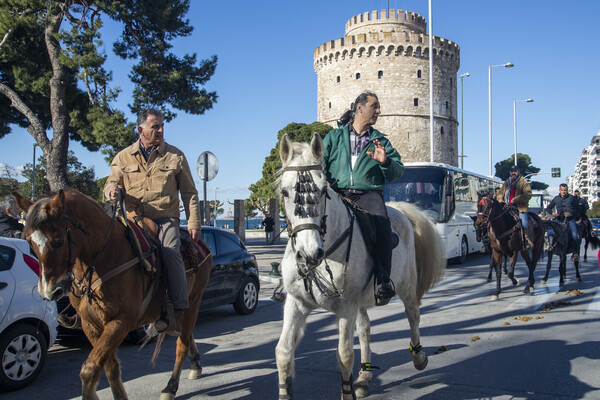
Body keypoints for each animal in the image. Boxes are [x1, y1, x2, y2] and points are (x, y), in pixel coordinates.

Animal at [14, 188, 212, 400]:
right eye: (29, 242)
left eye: (58, 241)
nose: (49, 291)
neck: (103, 257)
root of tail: (200, 244)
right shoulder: (90, 324)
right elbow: (109, 366)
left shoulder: (120, 321)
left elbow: (90, 368)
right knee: (186, 334)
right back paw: (195, 365)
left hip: (193, 302)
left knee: (181, 344)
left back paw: (171, 387)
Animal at [276, 135, 446, 400]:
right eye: (285, 191)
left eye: (323, 191)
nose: (309, 255)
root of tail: (400, 210)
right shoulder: (297, 303)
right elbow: (283, 351)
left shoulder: (346, 305)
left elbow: (344, 355)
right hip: (361, 300)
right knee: (366, 330)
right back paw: (364, 377)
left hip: (406, 288)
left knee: (413, 317)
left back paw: (419, 357)